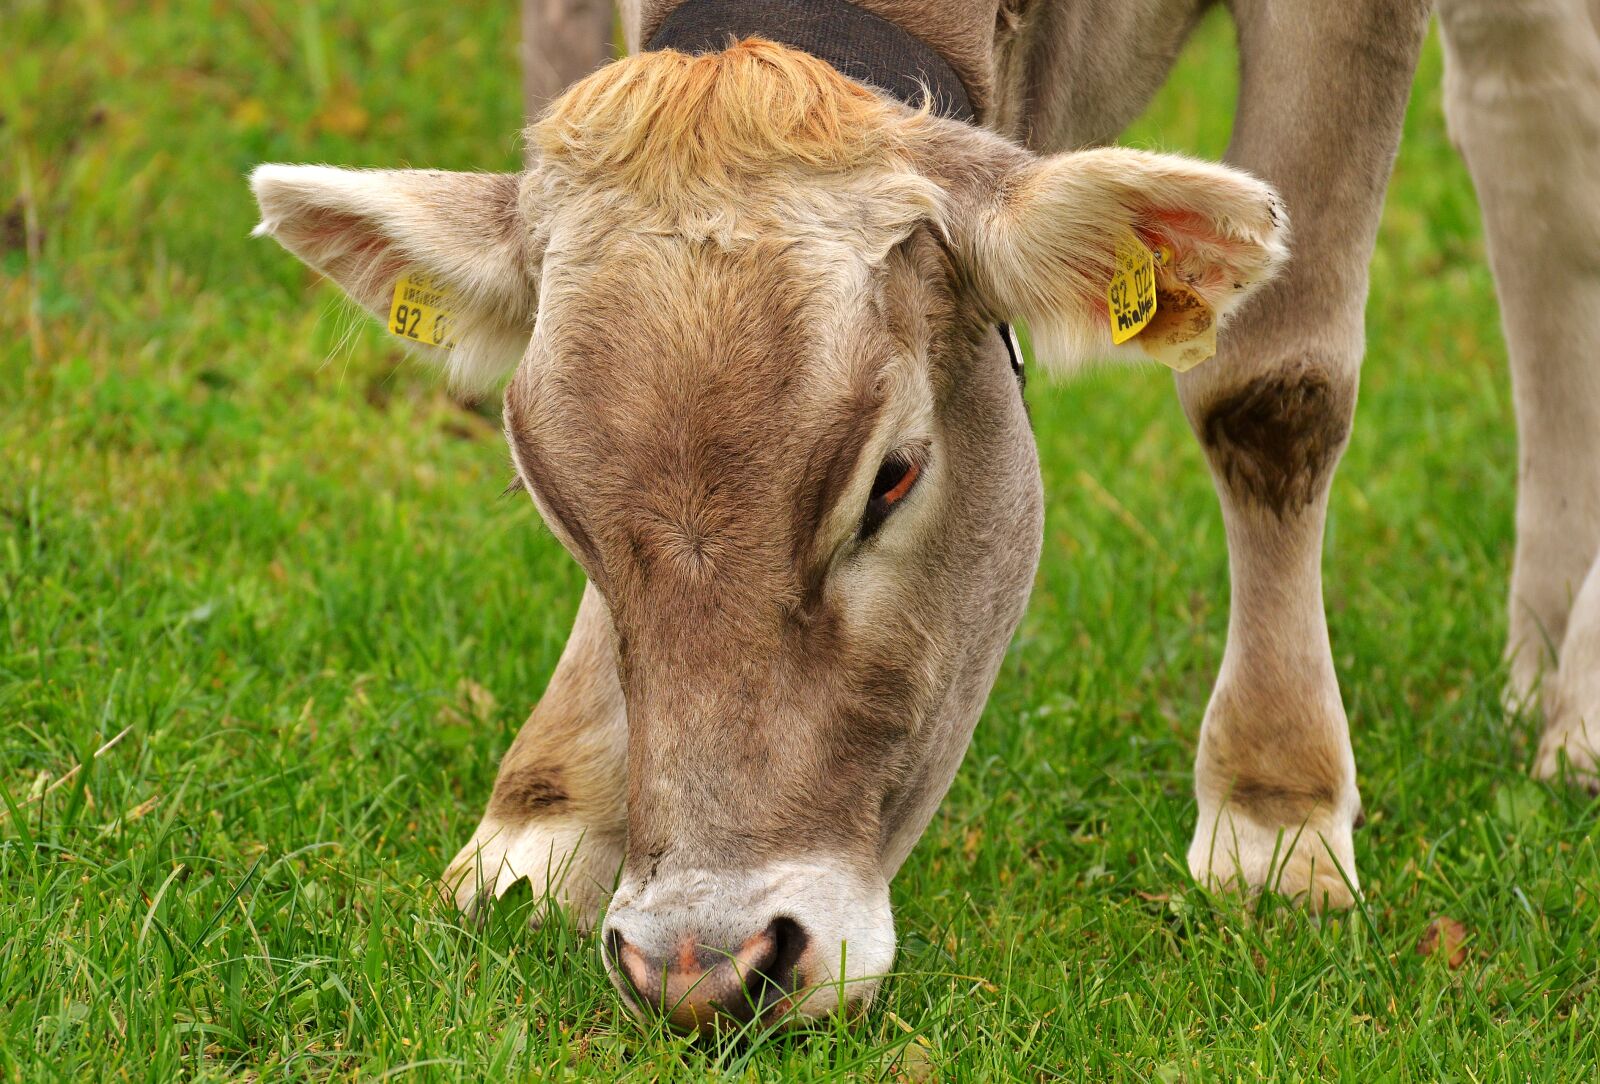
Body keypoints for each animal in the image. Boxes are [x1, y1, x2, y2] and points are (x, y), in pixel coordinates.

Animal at [248, 0, 1600, 1034]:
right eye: (553, 497)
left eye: (889, 479)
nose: (702, 966)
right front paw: (544, 815)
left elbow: (1271, 384)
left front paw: (1274, 809)